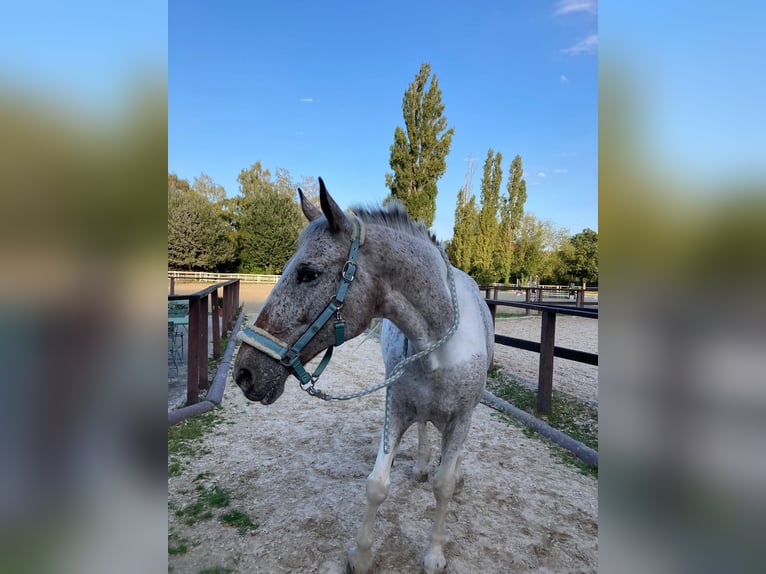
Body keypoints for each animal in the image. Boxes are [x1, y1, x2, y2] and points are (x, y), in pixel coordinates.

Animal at [234, 180, 496, 574]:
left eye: (308, 273)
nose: (244, 372)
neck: (439, 344)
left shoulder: (461, 417)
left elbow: (444, 486)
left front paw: (434, 554)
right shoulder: (397, 409)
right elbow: (376, 485)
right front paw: (361, 556)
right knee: (424, 427)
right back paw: (420, 465)